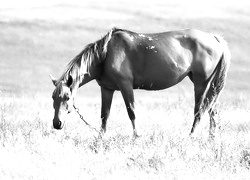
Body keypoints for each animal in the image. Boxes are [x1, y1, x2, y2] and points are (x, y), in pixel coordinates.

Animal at [50, 27, 230, 137]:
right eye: (53, 98)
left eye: (67, 97)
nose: (57, 123)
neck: (106, 54)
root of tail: (214, 38)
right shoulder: (107, 89)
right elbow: (104, 115)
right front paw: (100, 138)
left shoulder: (126, 86)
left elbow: (132, 112)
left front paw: (136, 137)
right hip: (208, 86)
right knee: (212, 111)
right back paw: (211, 139)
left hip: (201, 84)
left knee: (199, 111)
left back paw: (191, 137)